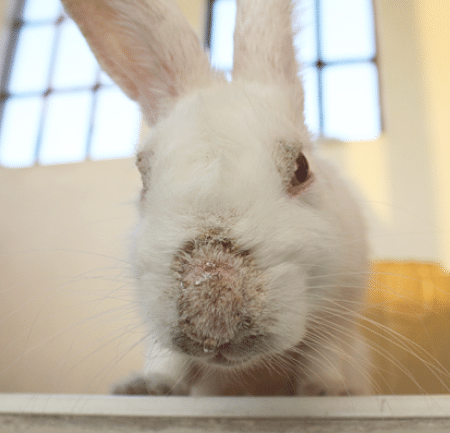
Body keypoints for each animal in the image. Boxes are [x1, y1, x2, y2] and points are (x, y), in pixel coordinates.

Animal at [61, 0, 370, 394]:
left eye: (302, 168)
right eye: (143, 176)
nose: (213, 294)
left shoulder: (341, 309)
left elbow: (323, 356)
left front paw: (325, 391)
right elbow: (169, 361)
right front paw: (146, 387)